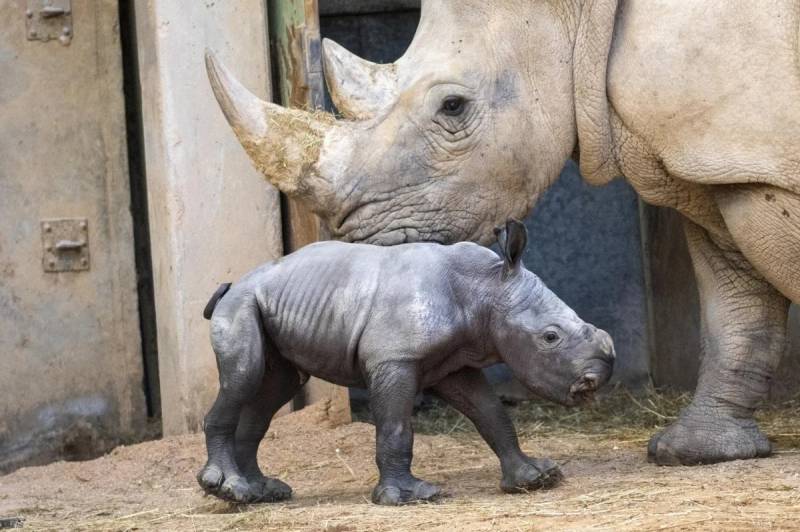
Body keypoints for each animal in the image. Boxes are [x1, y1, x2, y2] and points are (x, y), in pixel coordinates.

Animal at [197, 221, 614, 504]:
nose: (594, 380)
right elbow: (397, 426)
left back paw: (261, 492)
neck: (486, 289)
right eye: (550, 337)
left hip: (269, 303)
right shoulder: (394, 358)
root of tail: (232, 285)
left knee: (275, 389)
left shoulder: (454, 364)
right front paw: (408, 496)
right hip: (242, 304)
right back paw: (228, 488)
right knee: (243, 377)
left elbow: (491, 414)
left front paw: (536, 477)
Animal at [205, 0, 800, 466]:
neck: (578, 13)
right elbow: (735, 304)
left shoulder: (755, 153)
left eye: (452, 106)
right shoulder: (722, 165)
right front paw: (696, 452)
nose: (364, 249)